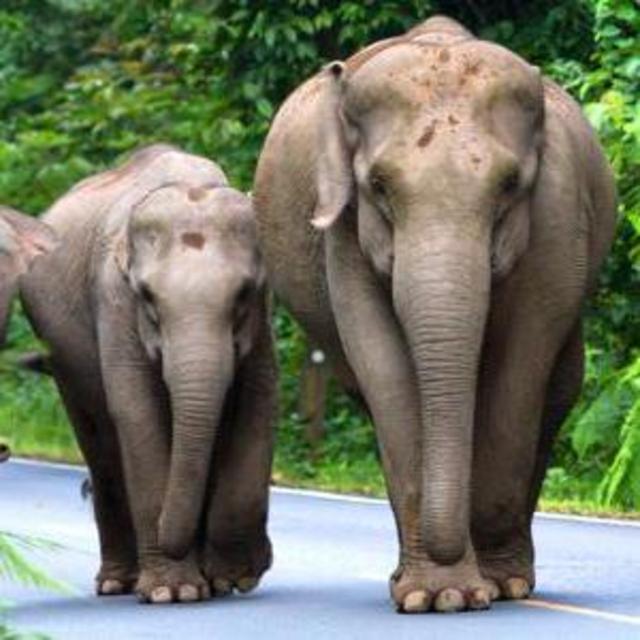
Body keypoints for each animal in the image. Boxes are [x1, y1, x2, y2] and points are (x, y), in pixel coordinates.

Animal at [21, 144, 277, 603]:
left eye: (243, 293)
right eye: (147, 297)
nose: (266, 558)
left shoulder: (262, 319)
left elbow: (258, 402)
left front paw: (232, 578)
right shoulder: (113, 301)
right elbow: (137, 414)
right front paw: (174, 593)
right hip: (63, 356)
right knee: (101, 444)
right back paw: (117, 583)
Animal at [254, 16, 616, 613]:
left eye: (509, 186)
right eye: (378, 186)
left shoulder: (558, 217)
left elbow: (521, 366)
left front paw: (495, 586)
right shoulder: (344, 236)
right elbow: (384, 368)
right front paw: (438, 595)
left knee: (558, 389)